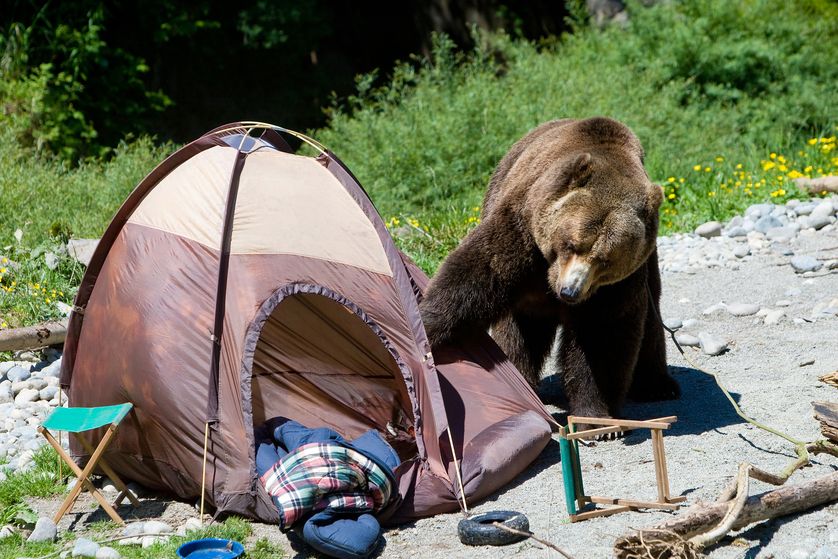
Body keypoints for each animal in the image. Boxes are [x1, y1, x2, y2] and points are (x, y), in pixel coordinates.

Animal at [424, 115, 680, 428]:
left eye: (605, 260)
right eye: (572, 243)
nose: (569, 291)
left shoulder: (615, 284)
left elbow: (601, 334)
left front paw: (598, 421)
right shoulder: (524, 230)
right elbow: (477, 275)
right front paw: (427, 328)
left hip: (649, 266)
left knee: (651, 317)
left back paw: (658, 385)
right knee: (517, 334)